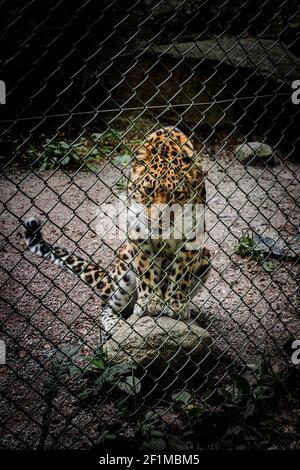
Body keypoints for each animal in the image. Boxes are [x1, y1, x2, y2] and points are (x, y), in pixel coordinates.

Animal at [22, 126, 211, 336]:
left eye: (176, 194)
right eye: (148, 190)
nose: (159, 220)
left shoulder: (192, 237)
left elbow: (180, 273)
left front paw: (177, 304)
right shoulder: (138, 234)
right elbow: (146, 271)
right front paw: (150, 303)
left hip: (206, 258)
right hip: (123, 271)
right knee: (107, 307)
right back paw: (117, 324)